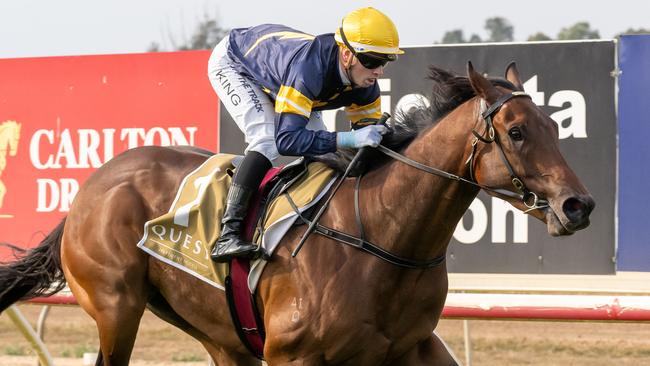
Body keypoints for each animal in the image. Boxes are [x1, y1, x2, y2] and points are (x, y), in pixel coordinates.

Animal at [0, 61, 592, 364]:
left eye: (555, 125)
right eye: (517, 131)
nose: (578, 205)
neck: (385, 236)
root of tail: (89, 188)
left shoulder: (413, 349)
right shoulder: (293, 357)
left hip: (220, 333)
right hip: (116, 308)